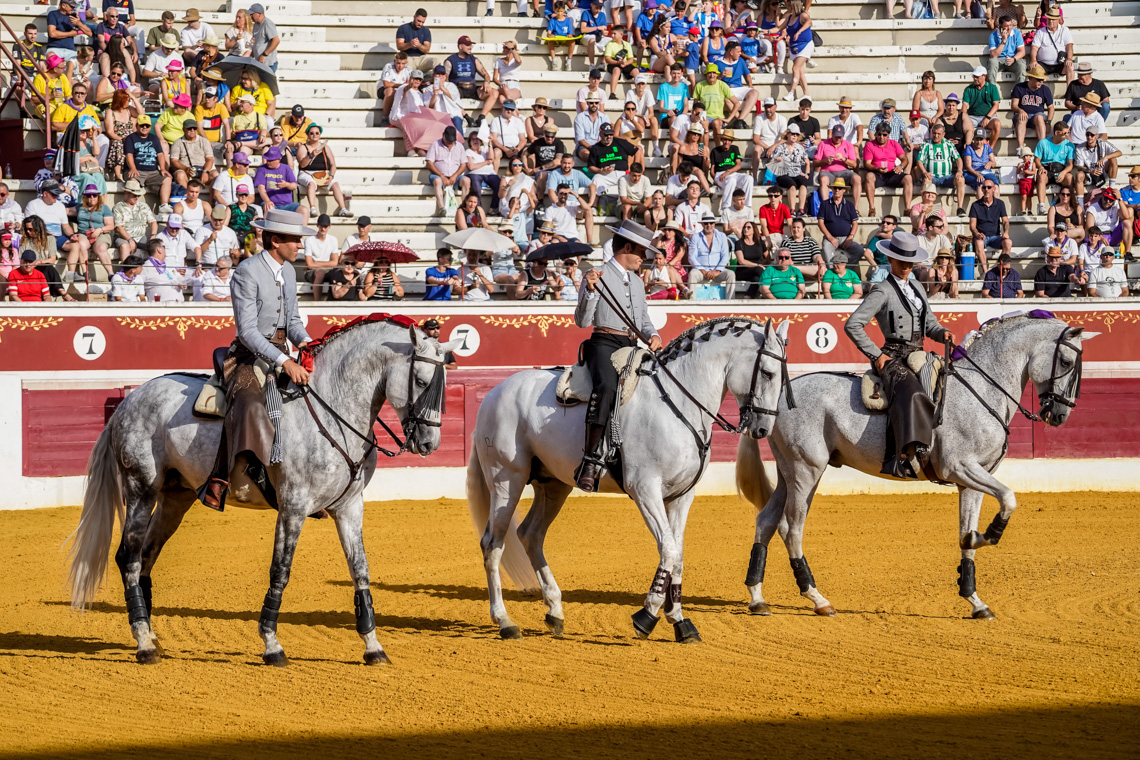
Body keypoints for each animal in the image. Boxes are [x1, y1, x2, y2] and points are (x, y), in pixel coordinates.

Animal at [68, 314, 461, 666]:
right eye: (422, 380)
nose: (430, 443)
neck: (332, 410)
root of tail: (128, 401)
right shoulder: (293, 507)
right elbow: (280, 571)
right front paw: (272, 645)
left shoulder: (350, 507)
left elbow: (360, 570)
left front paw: (373, 646)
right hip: (141, 489)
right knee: (129, 558)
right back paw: (143, 644)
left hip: (174, 498)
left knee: (147, 557)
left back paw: (149, 634)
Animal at [468, 317, 791, 643]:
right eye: (767, 372)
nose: (763, 429)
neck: (679, 403)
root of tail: (493, 394)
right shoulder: (645, 490)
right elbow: (668, 549)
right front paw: (647, 616)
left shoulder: (681, 496)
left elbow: (677, 554)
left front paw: (679, 621)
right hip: (506, 480)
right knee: (492, 544)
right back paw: (505, 621)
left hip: (553, 485)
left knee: (530, 534)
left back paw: (555, 611)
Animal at [735, 312, 1092, 620]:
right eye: (1066, 361)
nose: (1060, 414)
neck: (981, 390)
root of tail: (776, 398)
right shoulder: (959, 467)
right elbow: (1008, 498)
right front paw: (986, 536)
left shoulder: (974, 479)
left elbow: (966, 531)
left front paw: (975, 597)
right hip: (806, 471)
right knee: (792, 528)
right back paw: (818, 599)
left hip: (789, 472)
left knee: (767, 520)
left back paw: (757, 598)